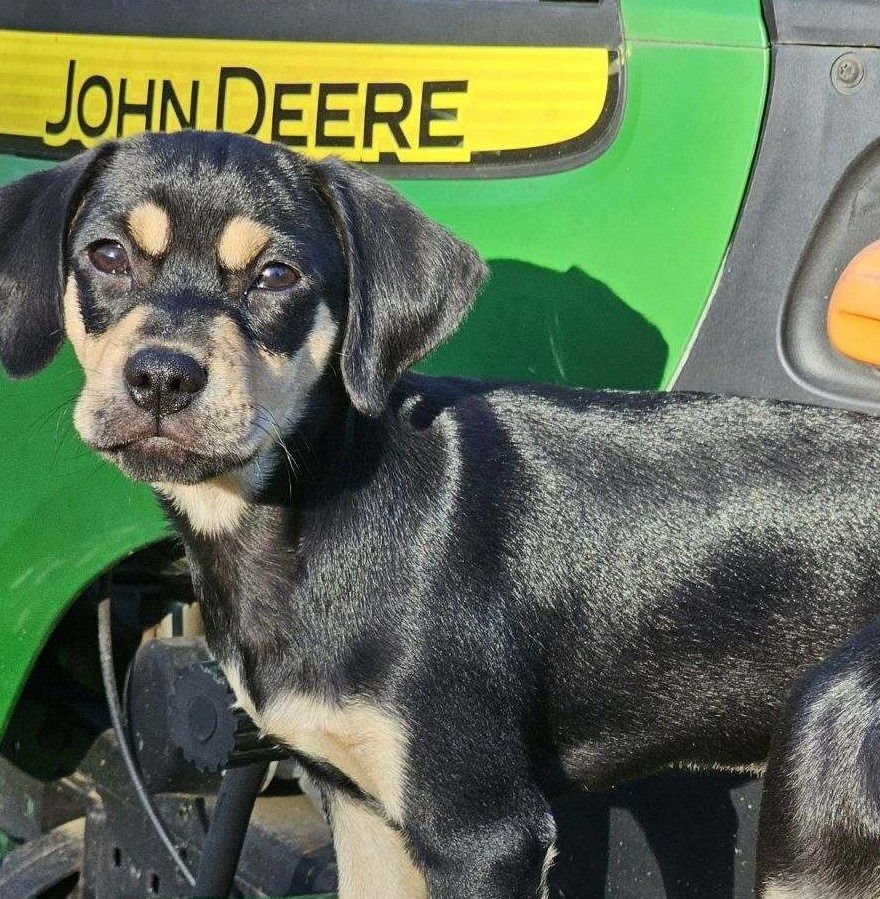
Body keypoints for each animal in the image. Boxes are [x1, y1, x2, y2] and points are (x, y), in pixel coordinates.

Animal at [1, 128, 880, 899]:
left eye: (278, 275)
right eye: (106, 255)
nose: (161, 377)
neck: (315, 507)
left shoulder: (481, 832)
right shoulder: (363, 810)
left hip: (817, 799)